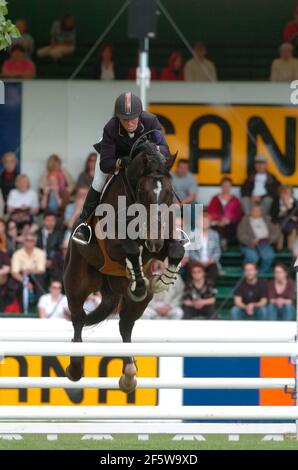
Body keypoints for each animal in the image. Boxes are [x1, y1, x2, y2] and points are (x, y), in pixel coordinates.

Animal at [62, 142, 184, 392]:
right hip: (77, 282)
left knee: (125, 325)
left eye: (168, 192)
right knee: (78, 318)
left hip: (125, 295)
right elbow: (131, 248)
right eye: (145, 193)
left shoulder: (162, 243)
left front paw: (161, 282)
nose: (154, 241)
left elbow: (176, 251)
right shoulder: (113, 244)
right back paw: (75, 368)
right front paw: (139, 280)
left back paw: (128, 374)